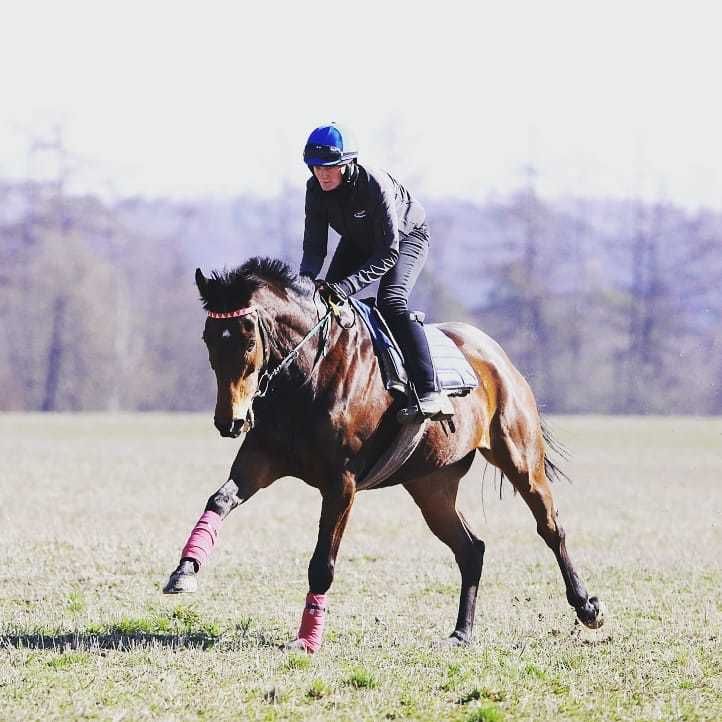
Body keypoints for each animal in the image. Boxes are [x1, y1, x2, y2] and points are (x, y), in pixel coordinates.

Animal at [162, 256, 600, 648]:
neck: (307, 375)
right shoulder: (262, 459)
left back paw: (586, 606)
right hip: (431, 486)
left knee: (550, 527)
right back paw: (461, 633)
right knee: (470, 548)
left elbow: (322, 564)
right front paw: (185, 570)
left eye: (249, 340)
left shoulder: (341, 483)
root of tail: (496, 356)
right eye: (208, 339)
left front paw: (307, 639)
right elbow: (219, 500)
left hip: (520, 458)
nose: (229, 421)